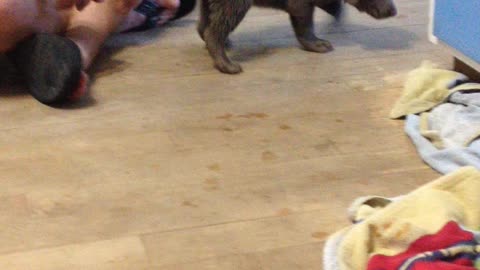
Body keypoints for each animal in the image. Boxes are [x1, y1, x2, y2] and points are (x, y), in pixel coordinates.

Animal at [199, 0, 398, 74]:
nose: (392, 10)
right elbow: (303, 16)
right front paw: (319, 44)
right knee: (224, 17)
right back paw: (227, 63)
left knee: (207, 18)